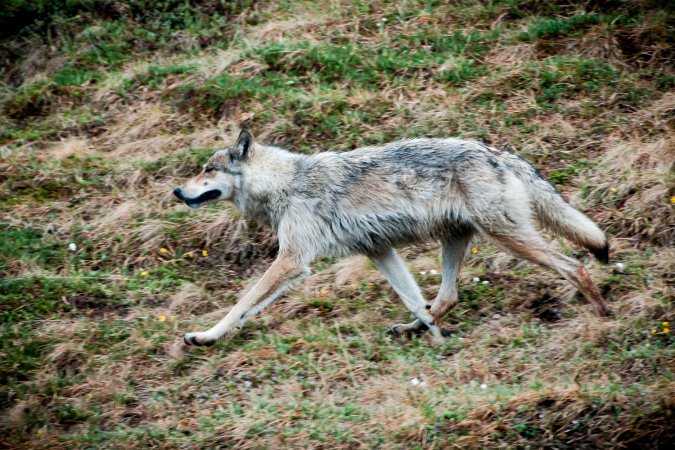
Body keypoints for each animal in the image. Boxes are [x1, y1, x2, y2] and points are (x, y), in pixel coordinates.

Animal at [172, 128, 608, 346]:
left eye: (207, 170)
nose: (176, 191)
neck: (288, 184)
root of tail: (499, 153)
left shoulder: (292, 261)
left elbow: (240, 305)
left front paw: (205, 336)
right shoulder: (378, 251)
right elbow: (415, 300)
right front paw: (438, 340)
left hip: (507, 236)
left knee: (574, 266)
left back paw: (604, 317)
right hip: (457, 241)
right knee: (445, 299)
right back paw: (416, 330)